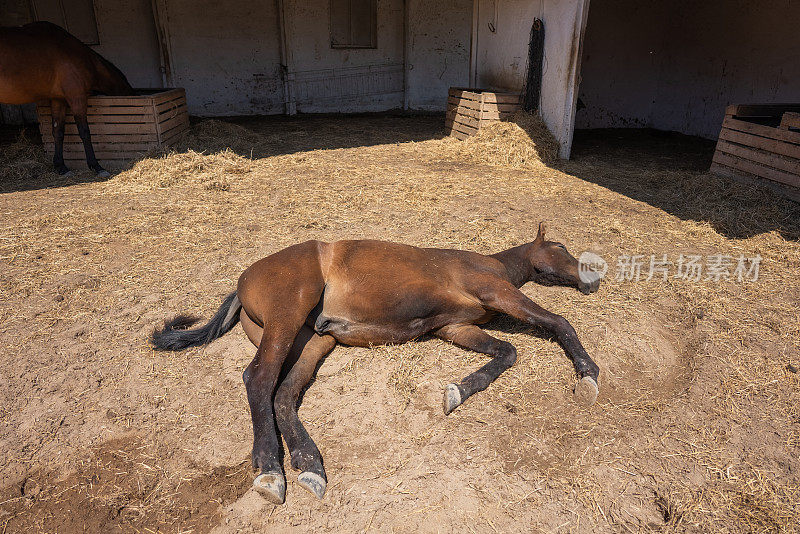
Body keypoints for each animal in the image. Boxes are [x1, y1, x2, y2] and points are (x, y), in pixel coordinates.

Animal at [0, 21, 133, 177]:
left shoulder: (58, 100)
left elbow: (58, 132)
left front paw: (61, 167)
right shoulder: (77, 97)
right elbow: (84, 131)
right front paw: (96, 166)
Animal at [152, 224, 600, 508]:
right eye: (560, 248)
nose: (591, 280)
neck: (493, 264)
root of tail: (243, 283)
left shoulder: (457, 327)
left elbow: (506, 352)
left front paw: (457, 391)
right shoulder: (497, 292)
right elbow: (558, 323)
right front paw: (588, 375)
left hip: (314, 340)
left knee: (284, 394)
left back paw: (310, 465)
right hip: (288, 313)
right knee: (258, 378)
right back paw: (270, 470)